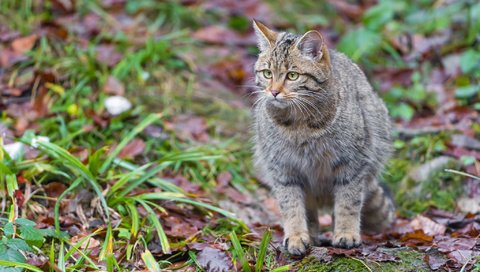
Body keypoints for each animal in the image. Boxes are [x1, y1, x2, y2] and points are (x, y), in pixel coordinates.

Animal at [251, 20, 394, 256]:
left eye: (292, 76)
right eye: (267, 73)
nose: (273, 92)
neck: (299, 125)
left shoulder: (352, 165)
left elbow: (348, 202)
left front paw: (346, 233)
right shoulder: (283, 169)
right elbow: (291, 206)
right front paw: (296, 236)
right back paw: (311, 236)